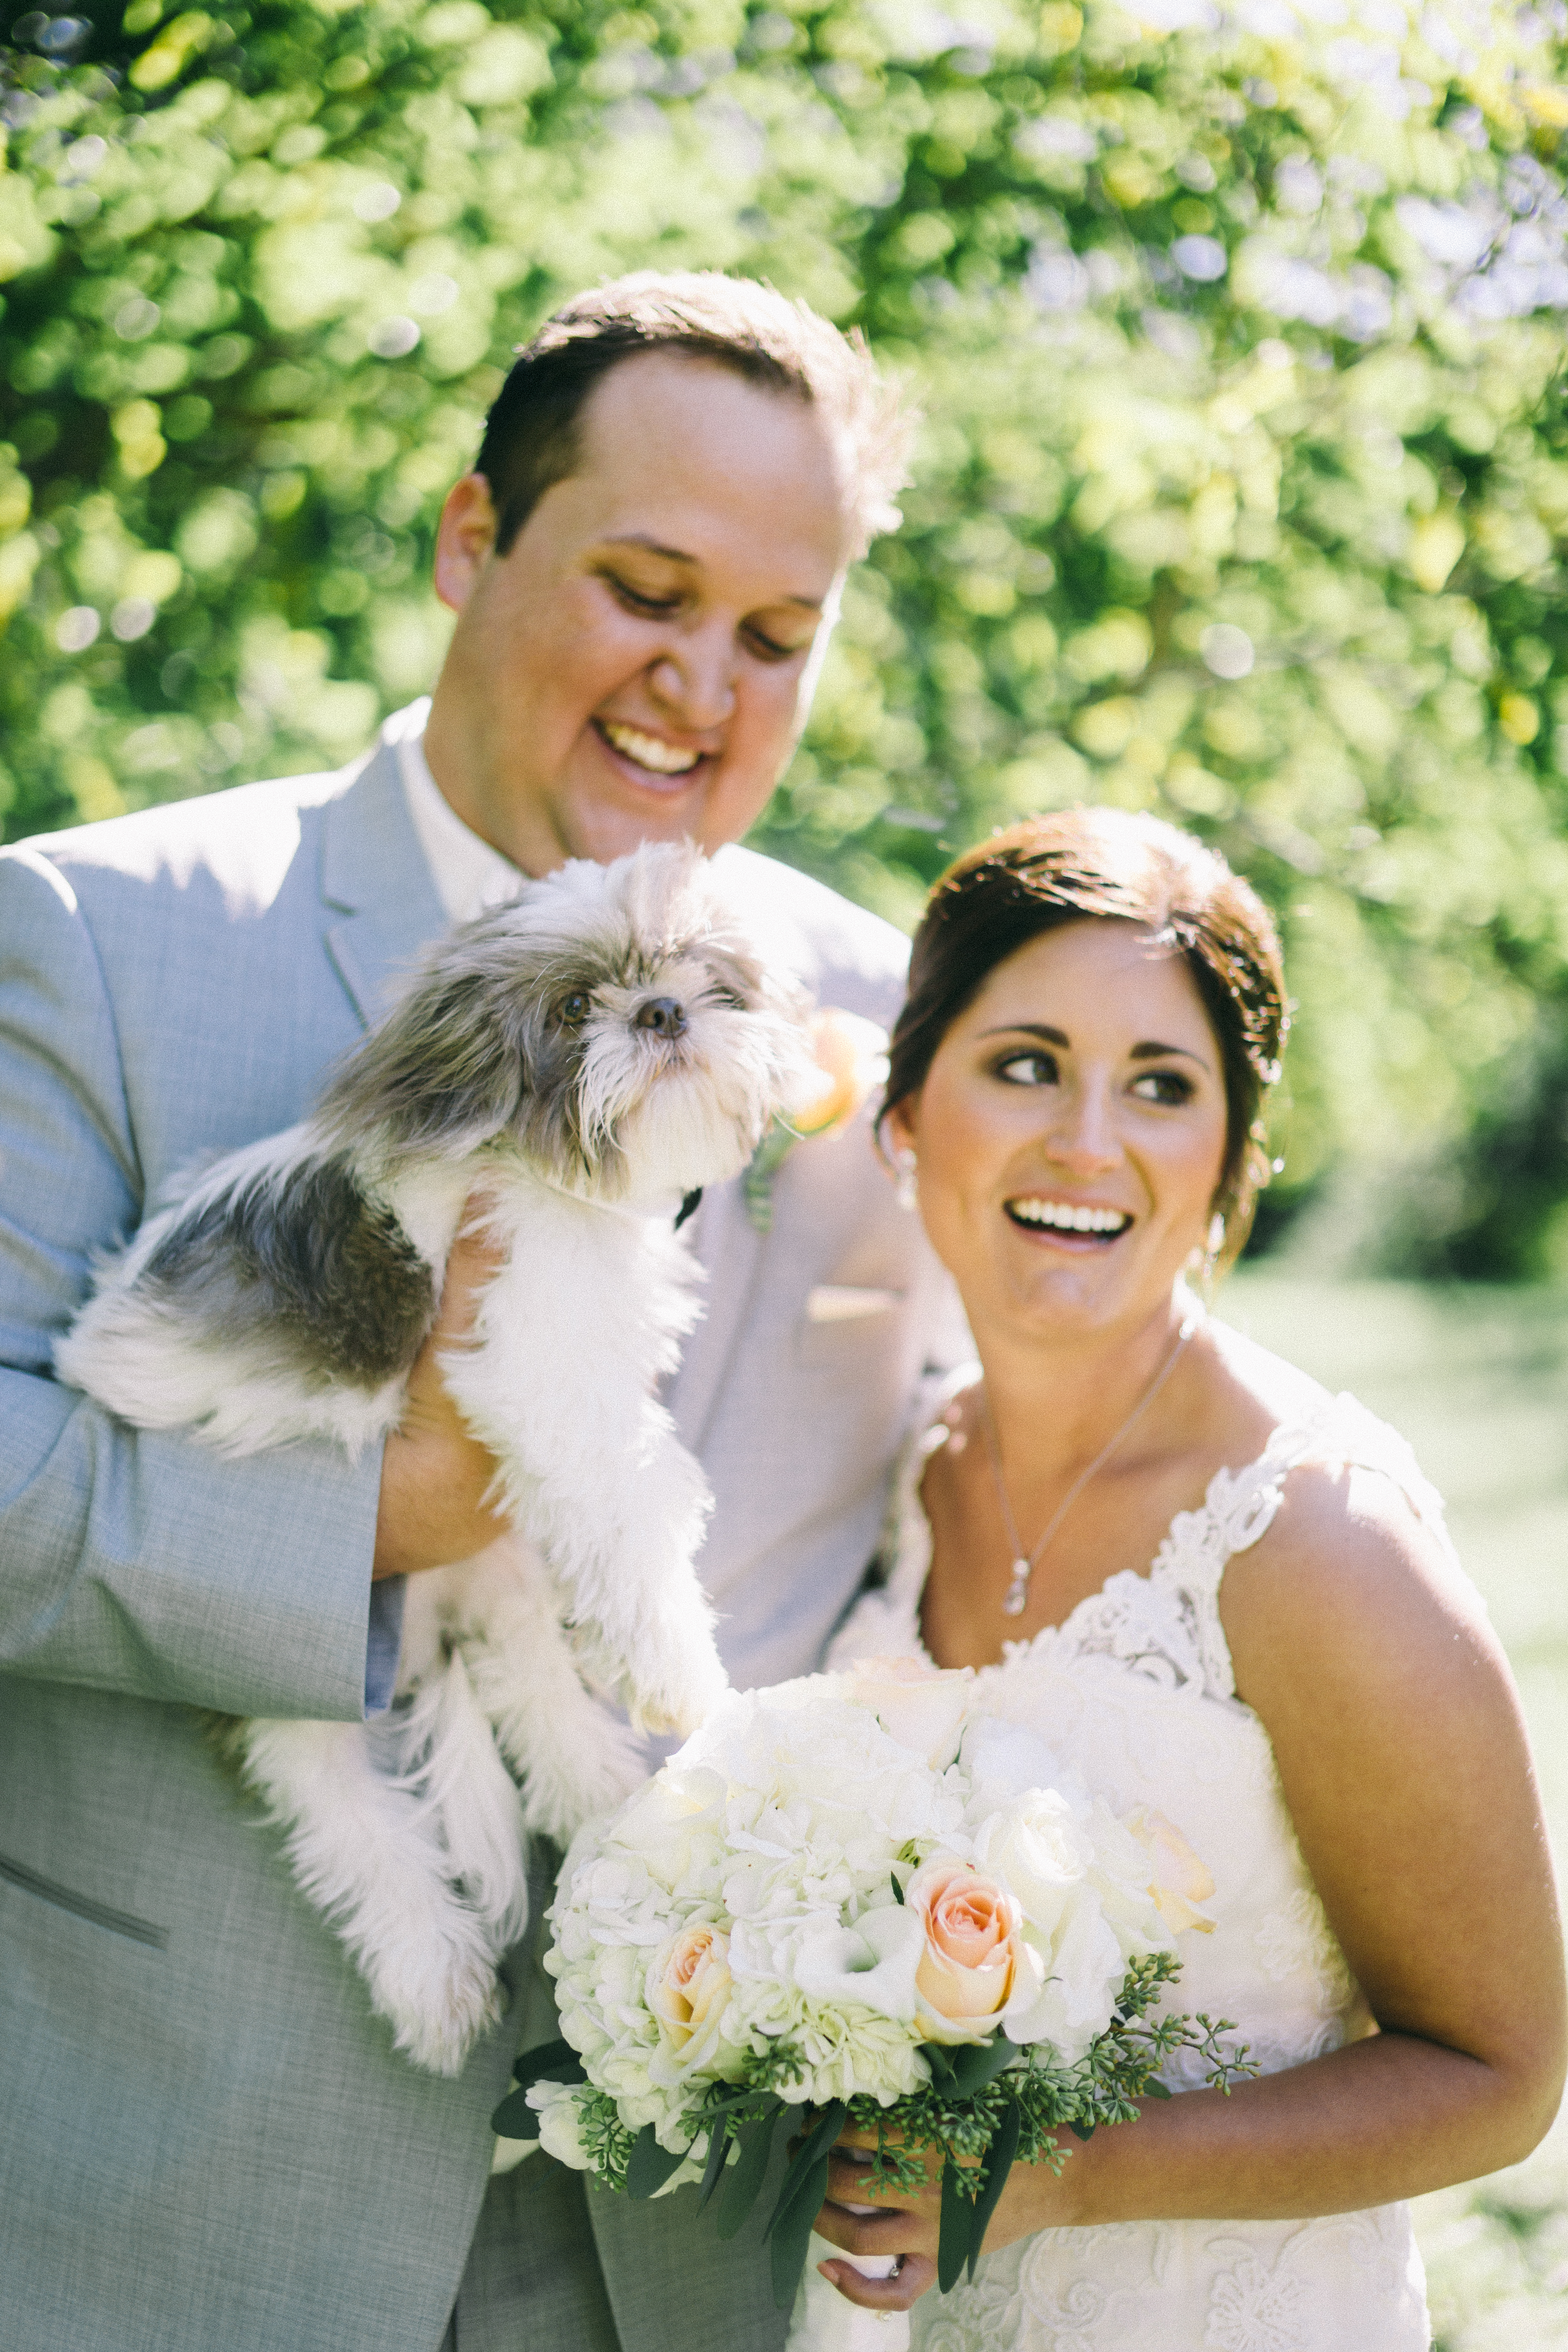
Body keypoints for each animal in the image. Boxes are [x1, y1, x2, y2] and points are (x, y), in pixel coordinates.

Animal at [52, 847, 808, 2079]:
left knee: (529, 1683)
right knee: (338, 1808)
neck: (532, 1174)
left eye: (704, 978)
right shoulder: (537, 1367)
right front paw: (682, 1673)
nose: (660, 1012)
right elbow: (633, 1513)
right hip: (289, 1667)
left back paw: (604, 1802)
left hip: (494, 1579)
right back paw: (433, 1973)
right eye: (572, 1009)